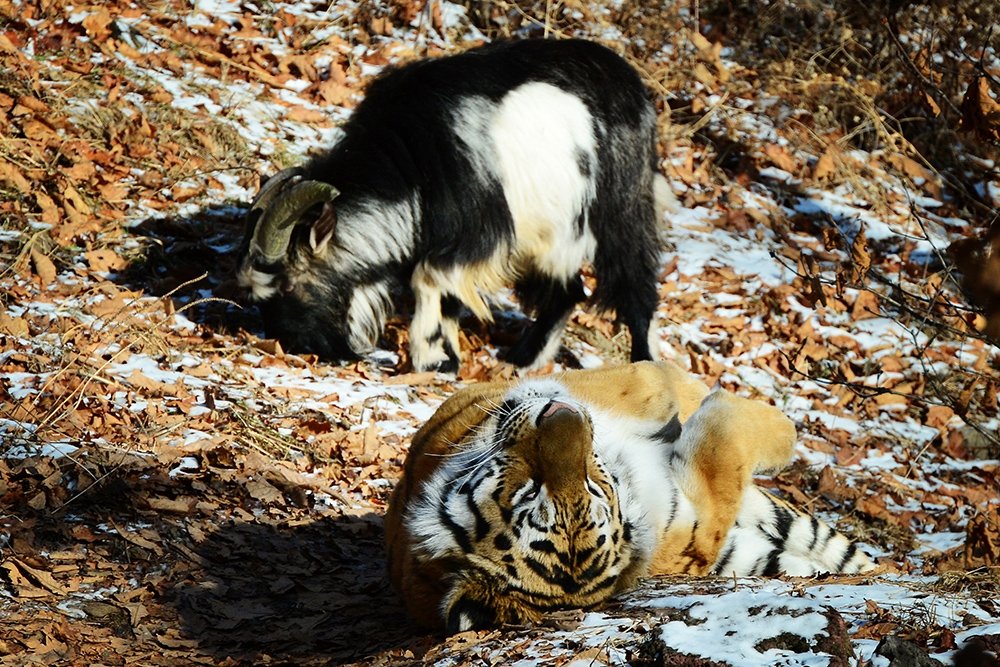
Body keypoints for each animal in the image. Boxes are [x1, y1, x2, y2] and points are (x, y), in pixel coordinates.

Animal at [238, 39, 668, 374]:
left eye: (289, 283)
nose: (294, 345)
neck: (412, 159)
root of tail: (633, 84)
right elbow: (443, 294)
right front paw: (446, 358)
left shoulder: (476, 229)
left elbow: (428, 278)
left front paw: (429, 359)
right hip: (545, 232)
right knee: (567, 291)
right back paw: (522, 360)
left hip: (619, 207)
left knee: (634, 282)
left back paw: (644, 363)